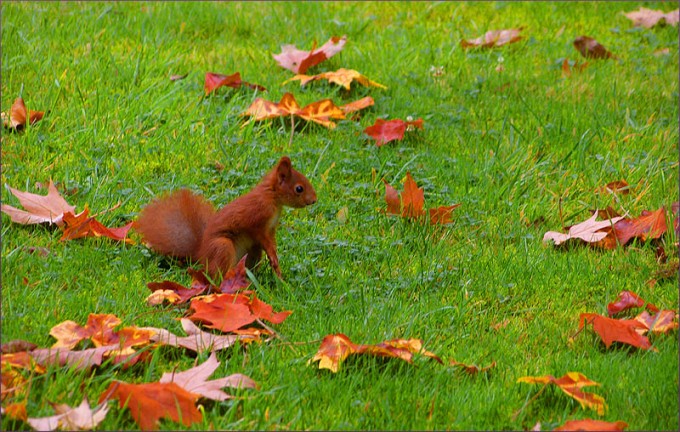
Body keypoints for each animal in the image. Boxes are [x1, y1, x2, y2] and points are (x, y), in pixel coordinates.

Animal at [135, 156, 317, 280]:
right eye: (299, 188)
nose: (314, 200)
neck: (271, 197)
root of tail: (200, 254)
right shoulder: (257, 219)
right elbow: (261, 237)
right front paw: (273, 258)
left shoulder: (270, 229)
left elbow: (271, 242)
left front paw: (276, 265)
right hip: (223, 246)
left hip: (252, 252)